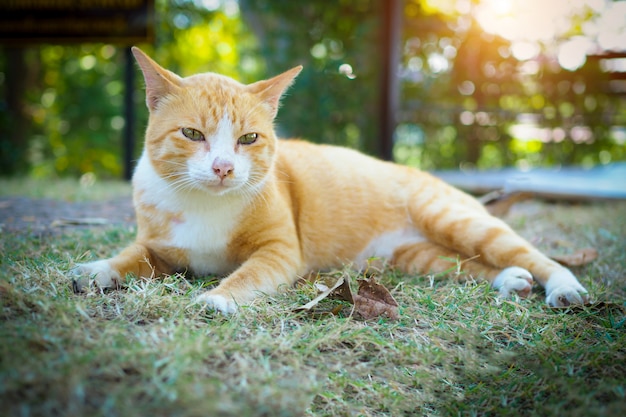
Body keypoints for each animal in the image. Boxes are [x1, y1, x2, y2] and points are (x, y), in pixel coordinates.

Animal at [70, 46, 588, 312]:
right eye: (193, 134)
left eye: (248, 138)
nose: (223, 168)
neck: (204, 203)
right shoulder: (156, 247)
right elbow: (129, 256)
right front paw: (96, 269)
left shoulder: (281, 253)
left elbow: (247, 275)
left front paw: (218, 298)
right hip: (413, 257)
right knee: (466, 265)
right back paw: (510, 281)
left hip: (456, 220)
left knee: (531, 255)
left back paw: (563, 288)